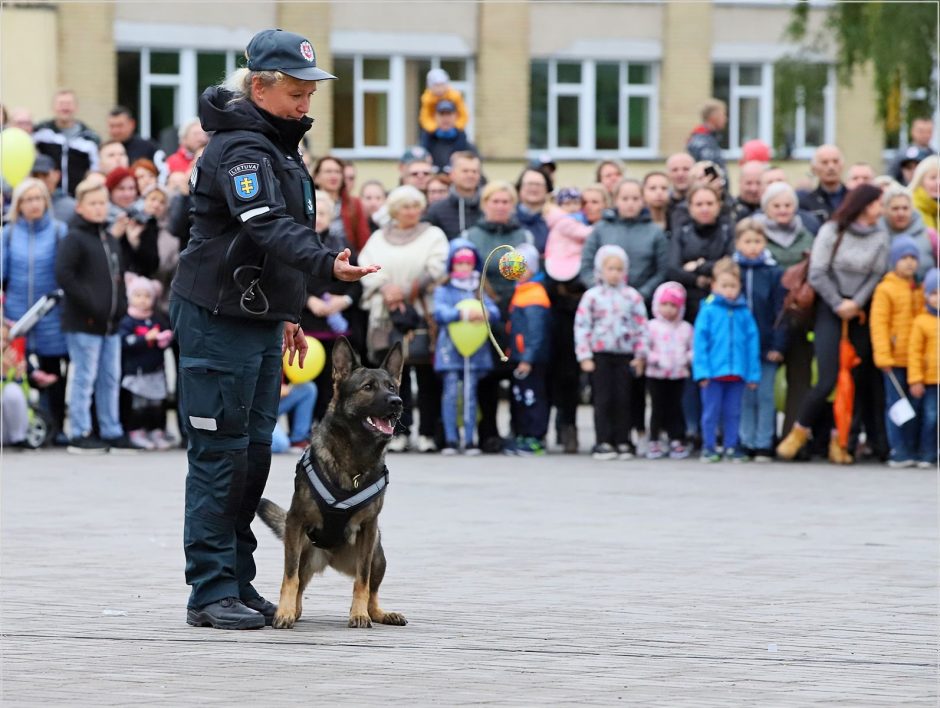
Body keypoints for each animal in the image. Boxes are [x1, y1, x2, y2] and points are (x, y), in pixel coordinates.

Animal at [258, 338, 408, 632]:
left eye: (392, 387)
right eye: (368, 387)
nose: (397, 402)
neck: (355, 457)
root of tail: (331, 557)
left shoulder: (369, 529)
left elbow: (362, 581)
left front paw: (358, 614)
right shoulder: (295, 522)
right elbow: (289, 577)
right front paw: (284, 612)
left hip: (377, 551)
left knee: (371, 590)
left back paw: (378, 613)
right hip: (304, 549)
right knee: (300, 582)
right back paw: (294, 609)